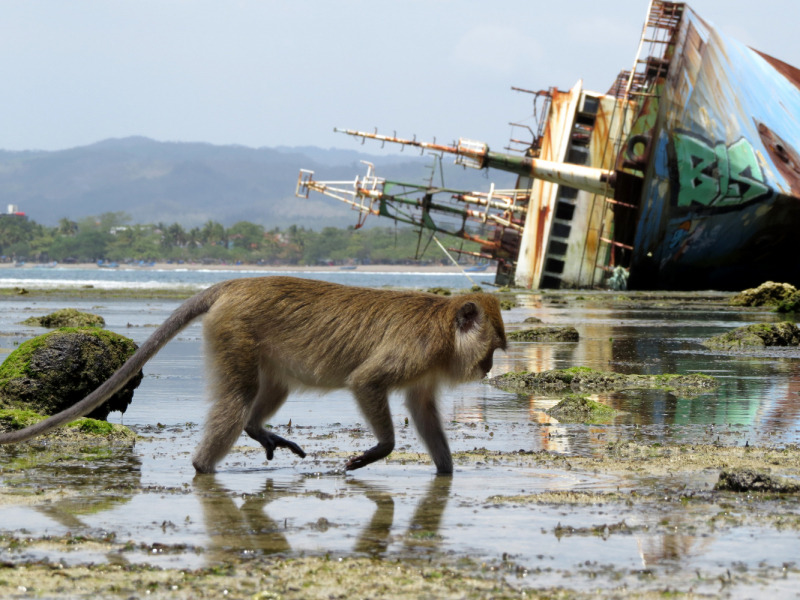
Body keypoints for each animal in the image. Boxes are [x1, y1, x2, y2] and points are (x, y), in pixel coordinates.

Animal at [0, 276, 504, 474]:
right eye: (494, 349)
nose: (489, 367)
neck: (443, 330)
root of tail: (235, 284)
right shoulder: (414, 351)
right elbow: (366, 382)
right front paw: (376, 452)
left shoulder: (425, 369)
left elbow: (423, 410)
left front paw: (446, 473)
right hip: (232, 330)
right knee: (237, 397)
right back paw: (204, 467)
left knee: (271, 387)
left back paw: (258, 429)